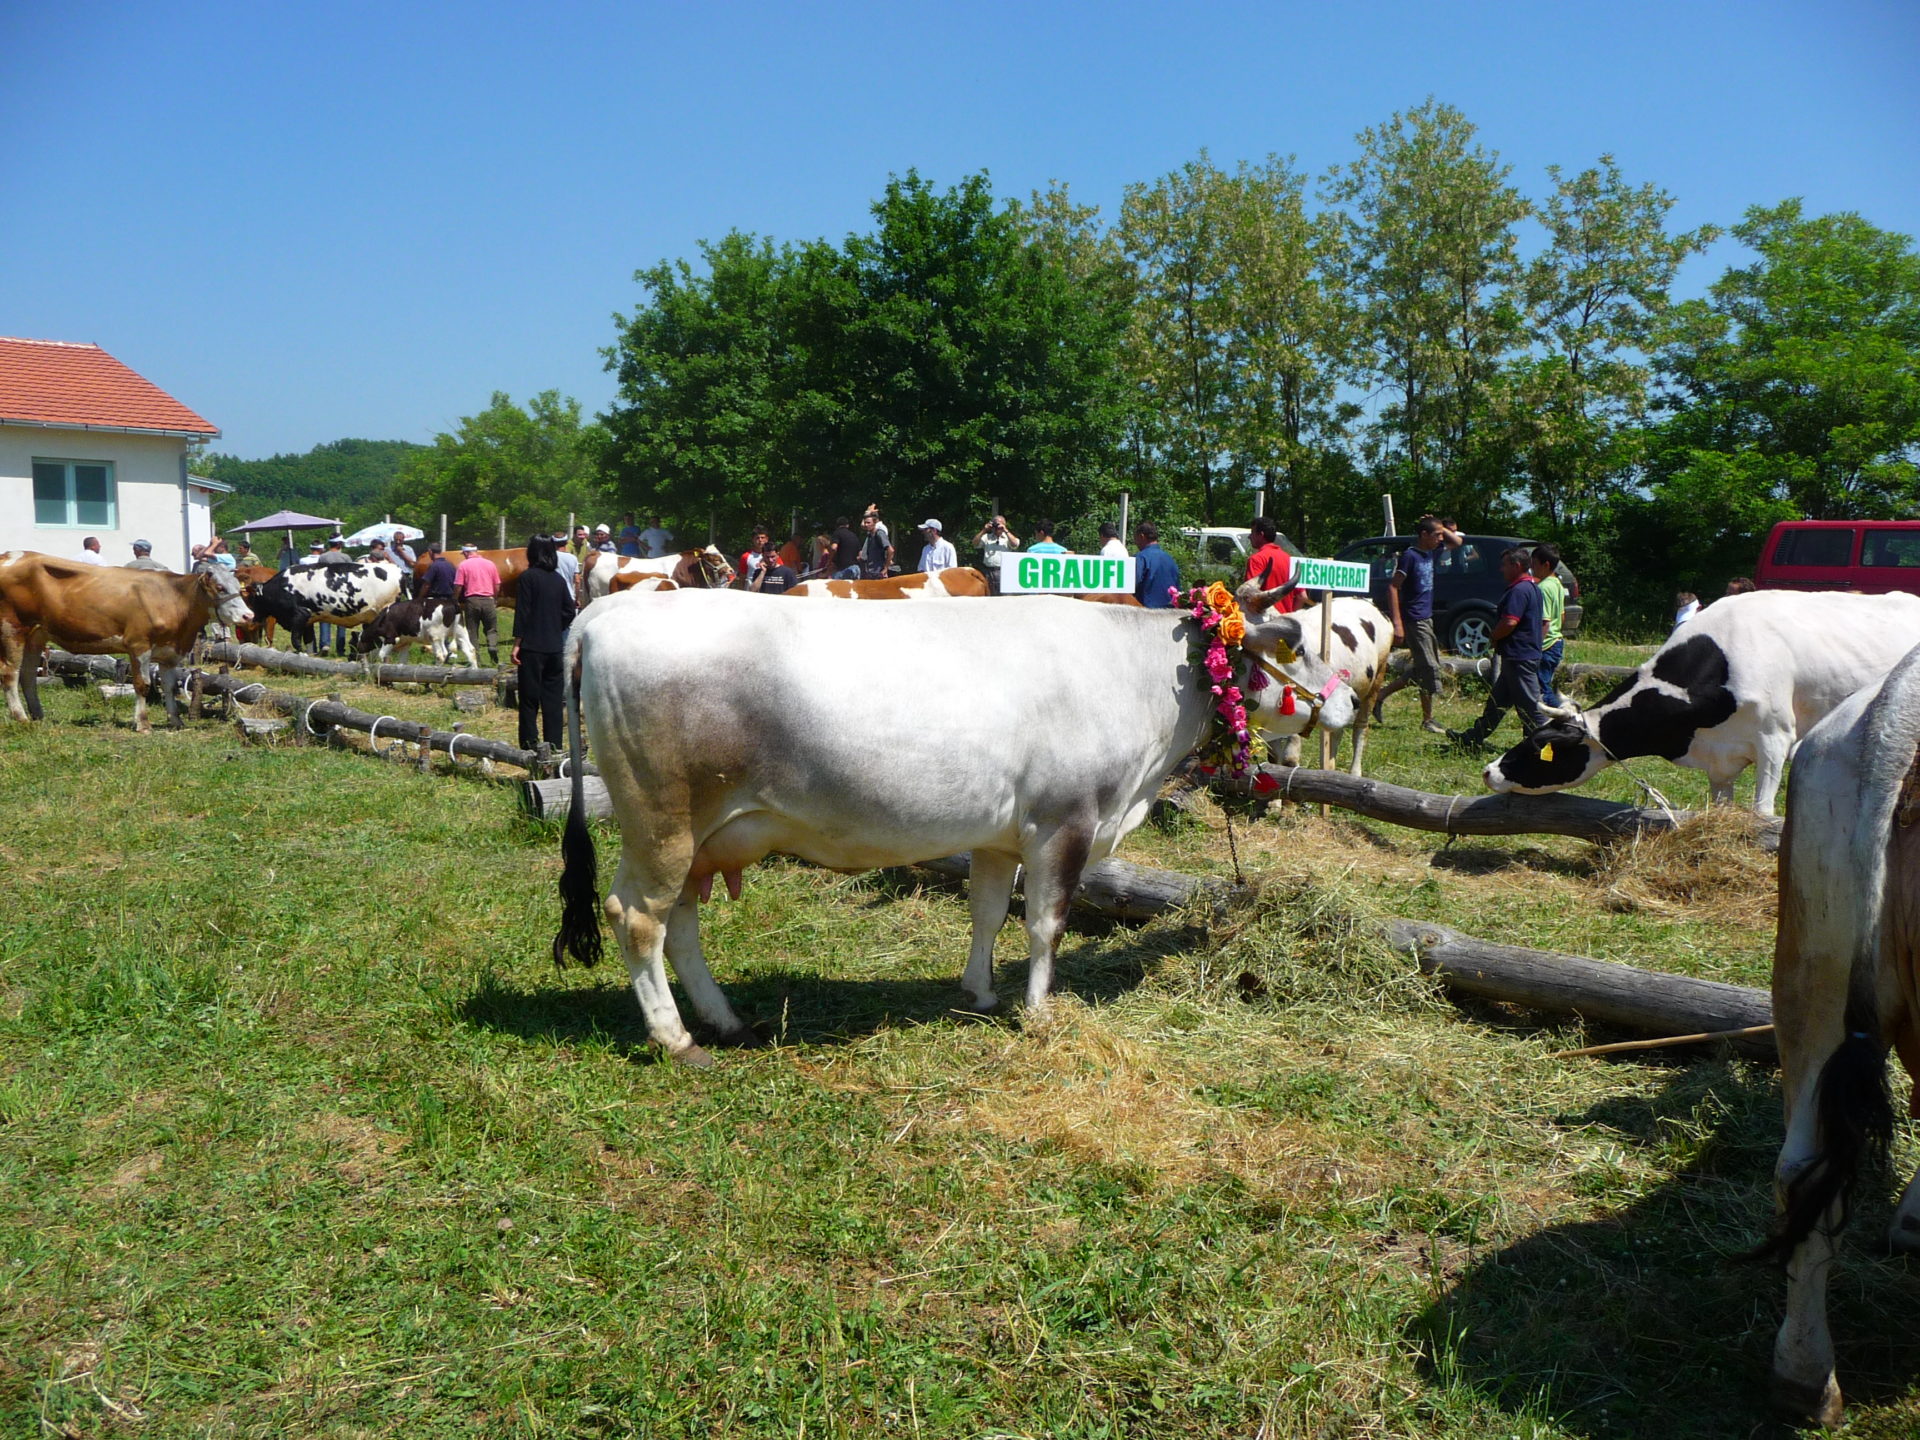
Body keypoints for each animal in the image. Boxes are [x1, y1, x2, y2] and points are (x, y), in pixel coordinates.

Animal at [0, 552, 255, 733]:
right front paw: (142, 724)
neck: (173, 598)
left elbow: (170, 687)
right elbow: (142, 685)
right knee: (10, 674)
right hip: (13, 629)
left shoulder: (170, 653)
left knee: (28, 676)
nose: (248, 616)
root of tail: (11, 555)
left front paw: (175, 721)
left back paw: (38, 716)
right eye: (220, 587)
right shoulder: (138, 645)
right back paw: (21, 717)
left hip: (36, 635)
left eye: (239, 587)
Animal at [549, 587, 1359, 1075]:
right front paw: (1040, 1013)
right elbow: (1046, 923)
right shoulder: (1065, 822)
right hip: (663, 822)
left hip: (698, 838)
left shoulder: (1001, 833)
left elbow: (989, 912)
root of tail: (606, 611)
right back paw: (677, 1038)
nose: (1351, 699)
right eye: (1293, 644)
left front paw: (980, 993)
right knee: (637, 918)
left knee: (680, 923)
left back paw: (723, 1019)